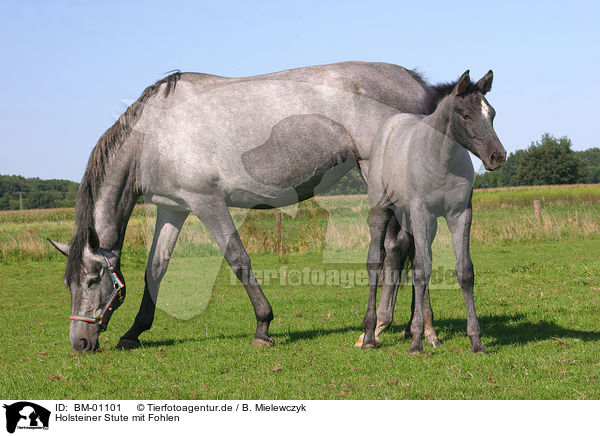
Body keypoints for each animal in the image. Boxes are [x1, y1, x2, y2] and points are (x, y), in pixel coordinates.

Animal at [49, 61, 464, 352]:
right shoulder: (173, 208)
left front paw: (263, 326)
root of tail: (414, 81)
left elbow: (237, 258)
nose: (80, 342)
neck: (155, 134)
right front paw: (135, 332)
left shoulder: (207, 203)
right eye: (68, 283)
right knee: (405, 247)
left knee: (403, 246)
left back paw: (400, 329)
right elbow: (156, 268)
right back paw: (404, 328)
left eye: (91, 280)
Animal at [360, 70, 506, 352]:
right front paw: (416, 342)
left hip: (420, 221)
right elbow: (421, 270)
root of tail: (390, 125)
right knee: (376, 261)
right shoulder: (422, 212)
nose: (497, 156)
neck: (440, 161)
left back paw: (427, 332)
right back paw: (370, 335)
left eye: (491, 113)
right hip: (383, 210)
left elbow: (464, 271)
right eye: (466, 115)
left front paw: (476, 340)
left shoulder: (460, 214)